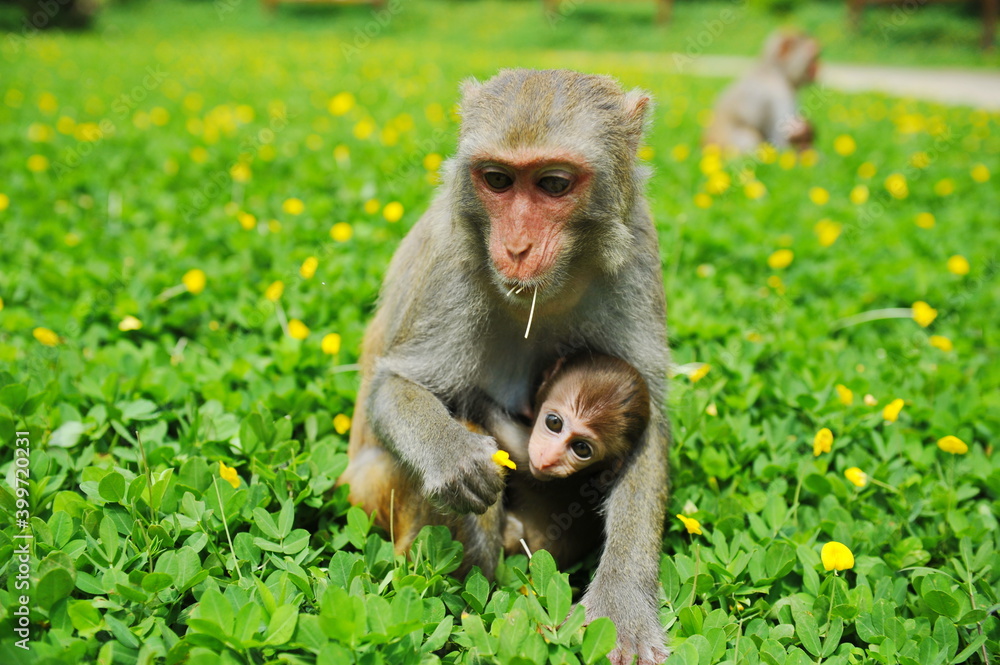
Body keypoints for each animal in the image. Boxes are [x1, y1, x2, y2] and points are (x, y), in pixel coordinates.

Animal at [339, 69, 670, 665]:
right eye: (497, 179)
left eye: (554, 185)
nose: (515, 247)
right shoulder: (453, 261)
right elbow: (394, 385)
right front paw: (452, 457)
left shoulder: (636, 246)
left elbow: (647, 425)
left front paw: (623, 606)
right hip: (367, 489)